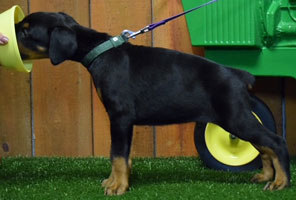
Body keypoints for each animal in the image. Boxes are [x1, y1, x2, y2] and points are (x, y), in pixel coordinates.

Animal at [15, 11, 290, 195]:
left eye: (26, 31)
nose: (7, 32)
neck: (99, 52)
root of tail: (238, 75)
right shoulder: (124, 122)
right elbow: (123, 156)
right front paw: (118, 181)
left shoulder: (120, 117)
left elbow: (116, 154)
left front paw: (117, 186)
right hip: (236, 119)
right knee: (264, 147)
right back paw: (266, 176)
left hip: (235, 118)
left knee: (276, 142)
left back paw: (282, 182)